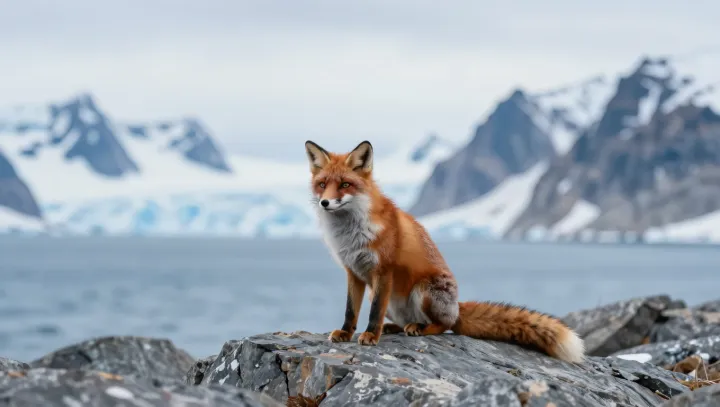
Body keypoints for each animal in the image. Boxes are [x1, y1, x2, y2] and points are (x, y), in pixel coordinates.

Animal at [304, 139, 585, 363]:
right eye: (322, 184)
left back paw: (418, 328)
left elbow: (373, 313)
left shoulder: (383, 271)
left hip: (423, 291)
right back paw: (396, 327)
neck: (350, 234)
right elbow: (350, 310)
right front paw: (346, 333)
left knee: (443, 326)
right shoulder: (353, 271)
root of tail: (456, 307)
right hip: (394, 300)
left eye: (344, 184)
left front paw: (372, 334)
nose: (325, 203)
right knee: (406, 320)